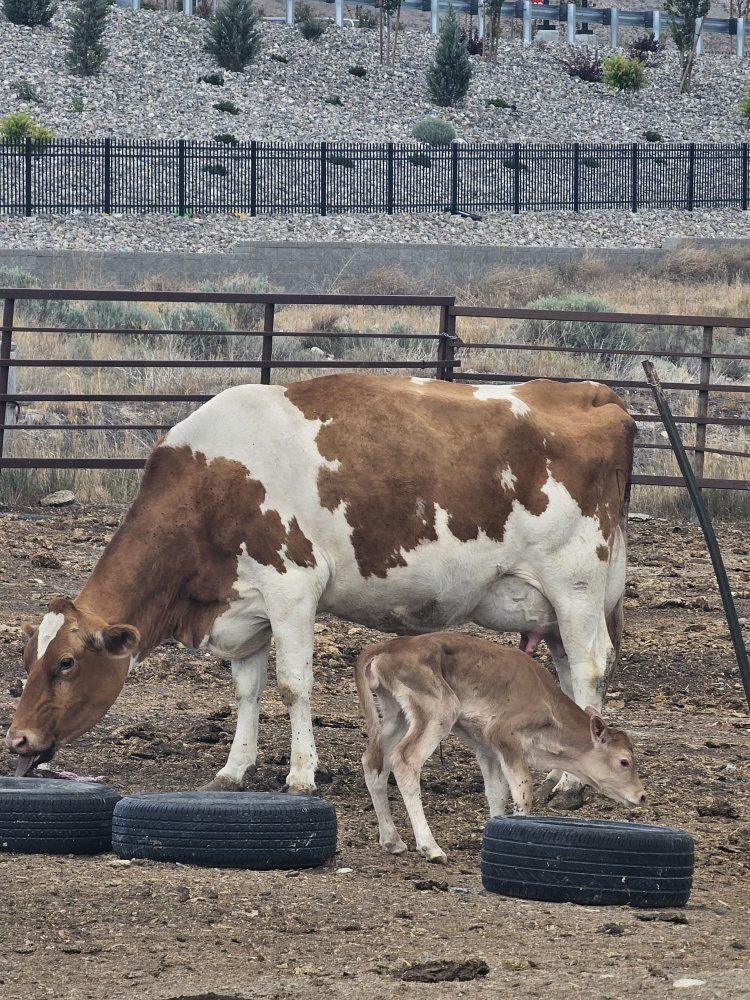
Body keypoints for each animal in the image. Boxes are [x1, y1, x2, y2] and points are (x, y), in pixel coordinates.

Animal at [5, 374, 635, 799]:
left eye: (65, 663)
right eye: (28, 659)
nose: (18, 740)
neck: (213, 481)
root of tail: (591, 394)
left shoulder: (292, 587)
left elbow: (292, 685)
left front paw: (301, 773)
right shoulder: (246, 606)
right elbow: (247, 689)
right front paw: (234, 768)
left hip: (575, 582)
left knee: (589, 667)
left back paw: (570, 784)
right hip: (554, 606)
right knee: (567, 674)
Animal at [355, 633, 646, 863]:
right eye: (624, 761)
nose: (641, 795)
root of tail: (388, 646)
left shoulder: (488, 748)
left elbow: (497, 793)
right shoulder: (505, 736)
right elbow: (522, 791)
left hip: (396, 713)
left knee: (373, 761)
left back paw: (393, 840)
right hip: (438, 709)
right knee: (405, 760)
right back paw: (431, 848)